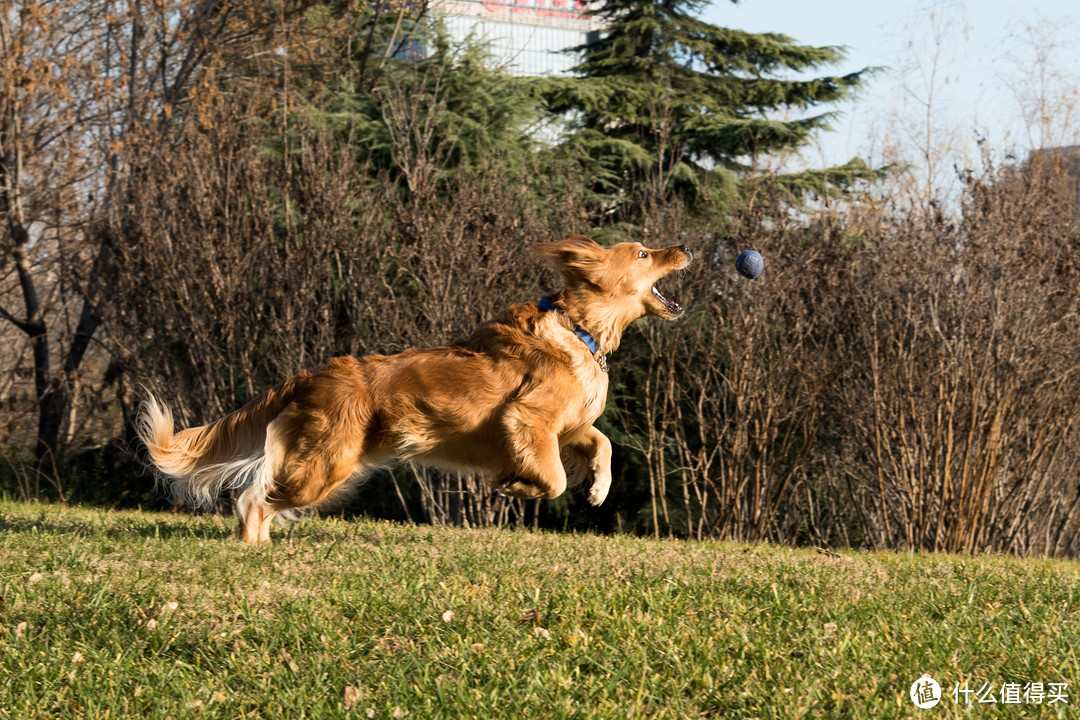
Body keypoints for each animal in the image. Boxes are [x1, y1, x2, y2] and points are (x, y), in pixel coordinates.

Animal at [137, 234, 691, 544]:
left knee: (260, 498)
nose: (687, 245)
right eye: (644, 252)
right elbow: (552, 477)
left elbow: (603, 442)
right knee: (253, 499)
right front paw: (514, 486)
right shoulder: (527, 419)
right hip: (327, 464)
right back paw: (253, 549)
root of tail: (314, 376)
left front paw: (598, 487)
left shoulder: (568, 425)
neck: (579, 329)